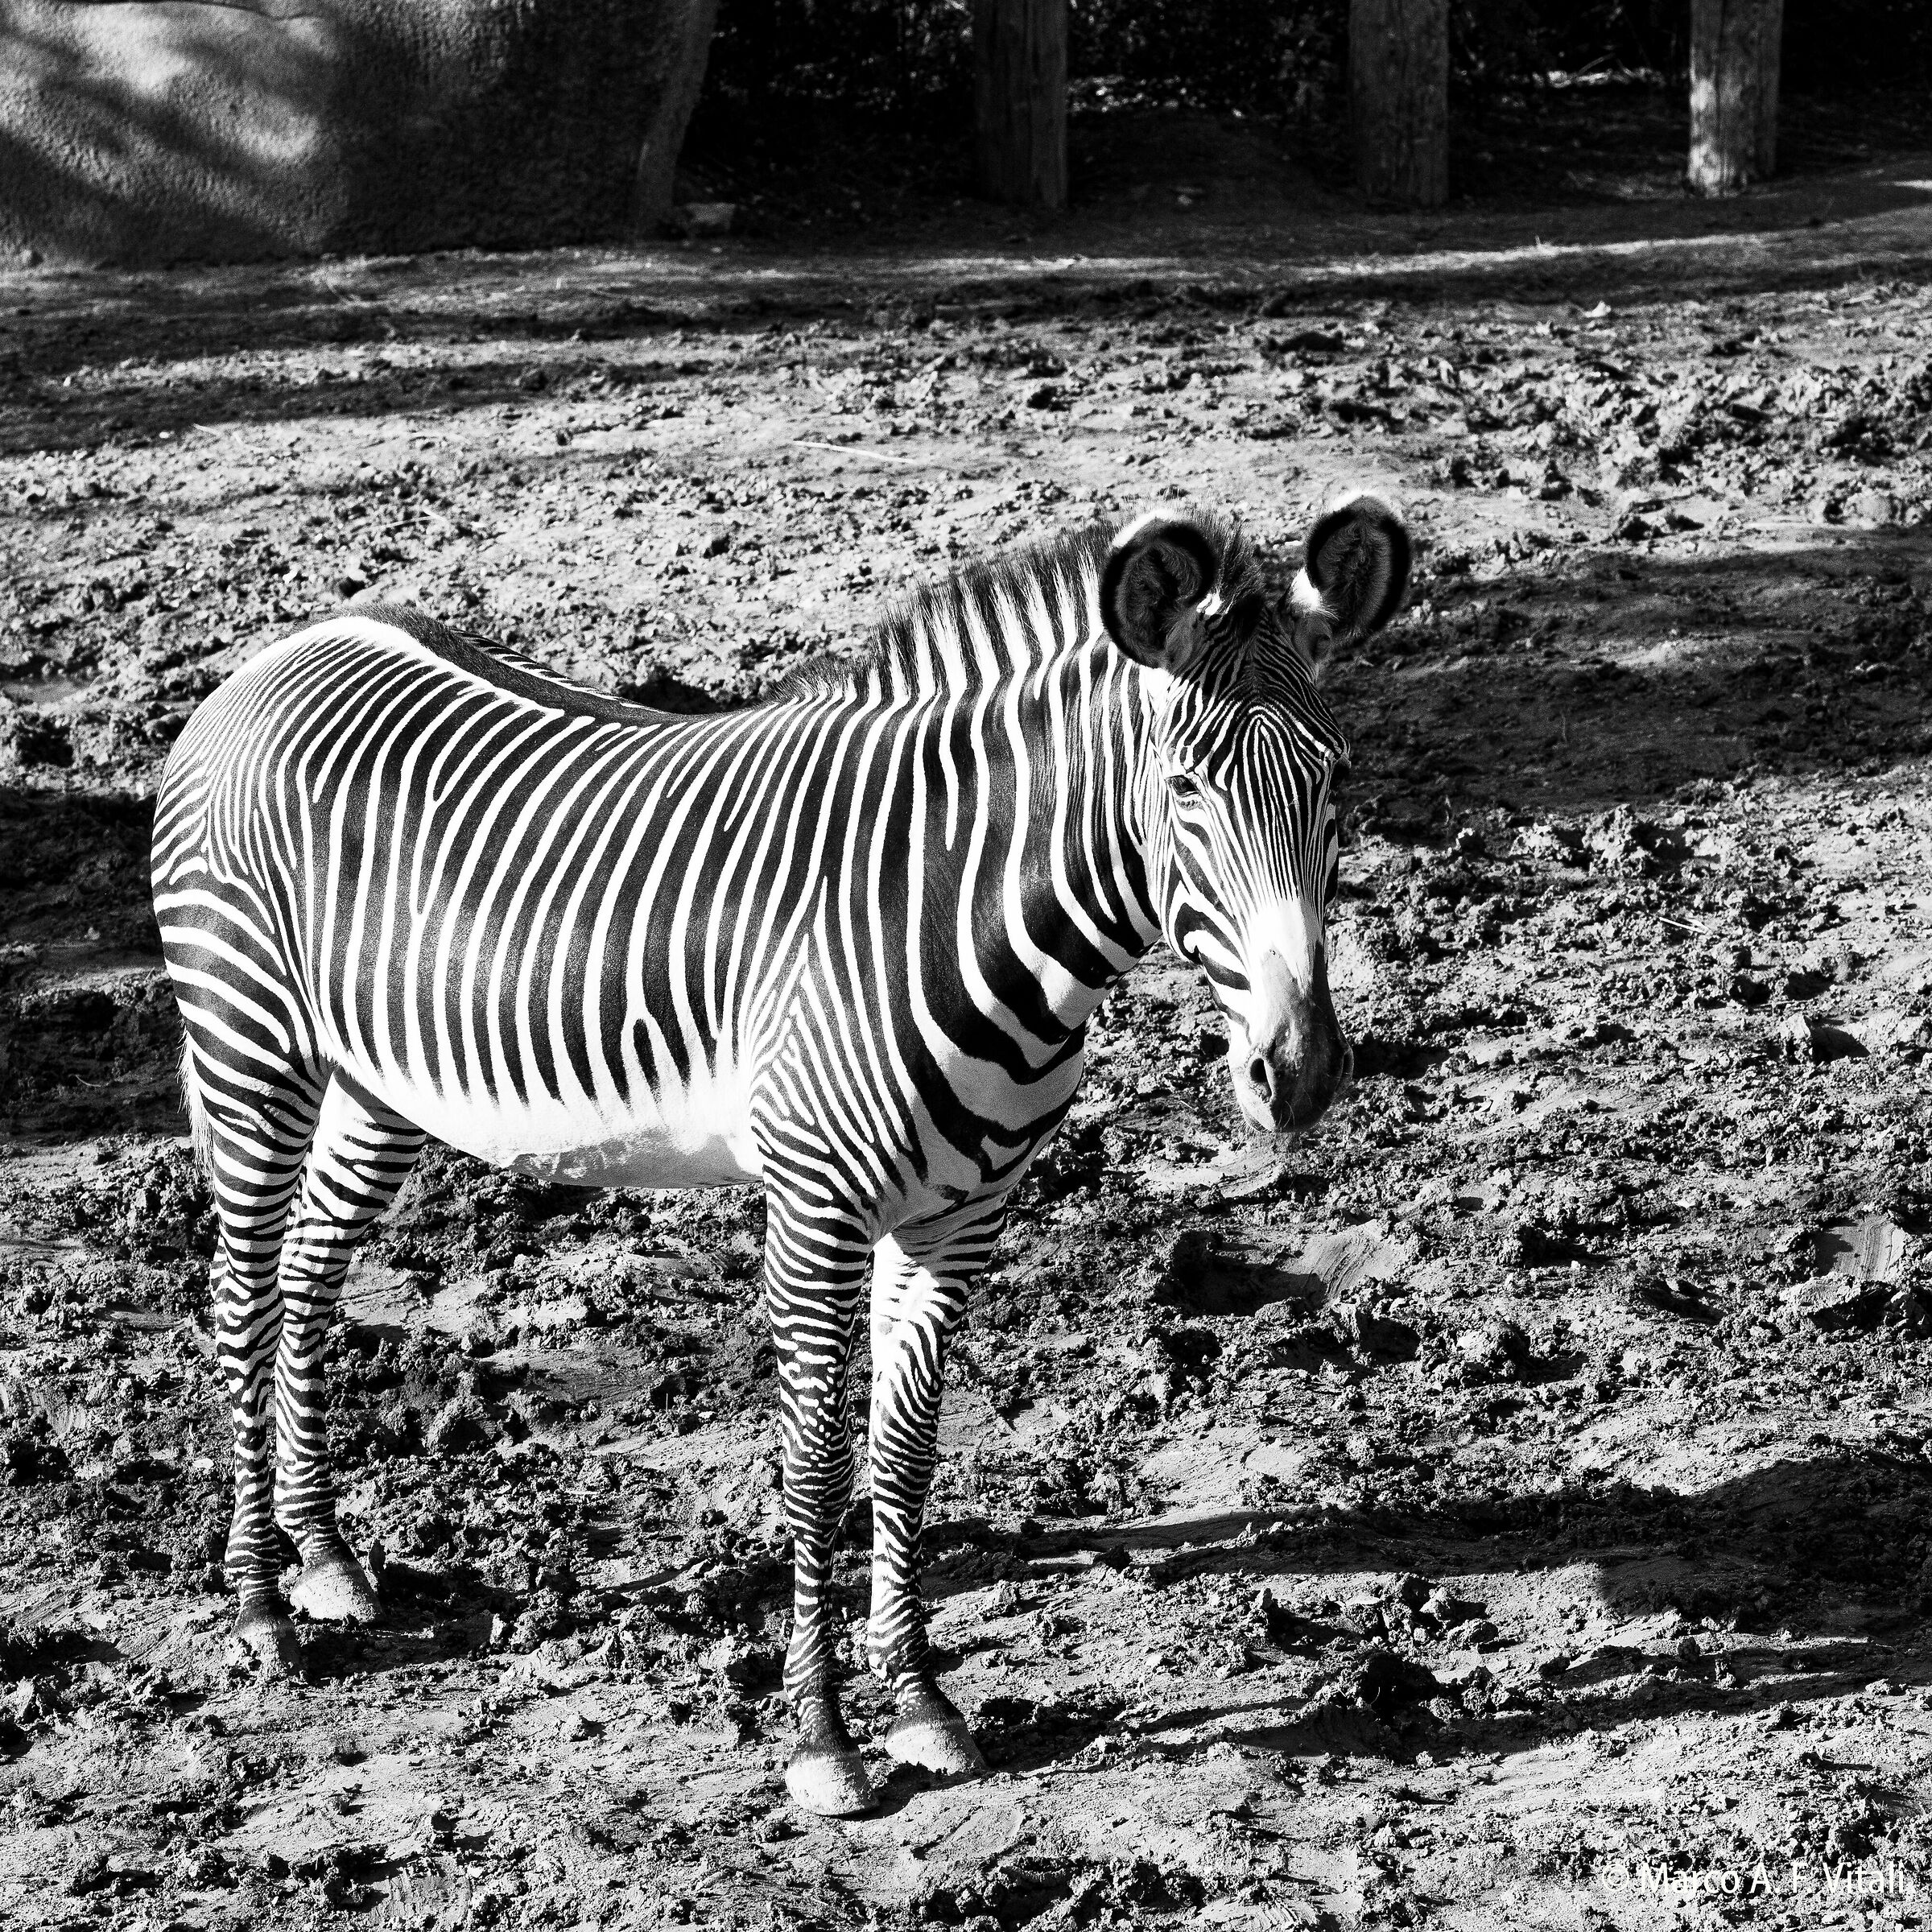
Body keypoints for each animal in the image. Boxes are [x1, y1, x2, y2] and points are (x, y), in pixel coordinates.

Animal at [150, 494, 1409, 1815]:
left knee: (308, 1277)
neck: (956, 910)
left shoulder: (956, 1222)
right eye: (1185, 789)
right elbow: (816, 1469)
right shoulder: (814, 1213)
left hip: (379, 1081)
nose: (1300, 1070)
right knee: (242, 1294)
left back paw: (325, 1558)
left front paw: (923, 1706)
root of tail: (285, 647)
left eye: (1336, 779)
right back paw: (260, 1607)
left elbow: (904, 1456)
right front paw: (821, 1741)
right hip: (249, 1041)